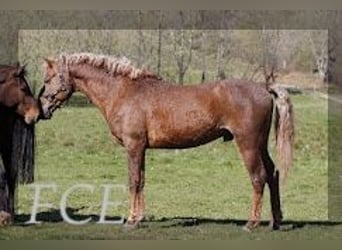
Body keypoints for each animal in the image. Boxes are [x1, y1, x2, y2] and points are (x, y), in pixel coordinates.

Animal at [38, 52, 294, 230]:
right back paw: (275, 221)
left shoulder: (133, 146)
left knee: (258, 177)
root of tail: (263, 87)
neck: (123, 91)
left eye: (49, 78)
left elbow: (133, 181)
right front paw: (139, 217)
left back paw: (252, 223)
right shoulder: (141, 148)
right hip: (260, 145)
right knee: (273, 173)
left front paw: (131, 220)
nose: (43, 108)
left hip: (248, 144)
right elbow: (141, 181)